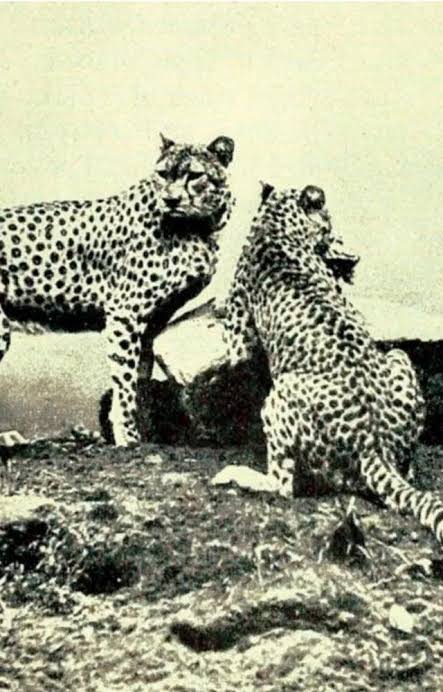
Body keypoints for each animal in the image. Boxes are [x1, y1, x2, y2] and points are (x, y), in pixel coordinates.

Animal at [0, 134, 235, 447]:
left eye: (194, 175)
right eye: (163, 174)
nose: (171, 200)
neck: (196, 227)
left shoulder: (151, 323)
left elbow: (139, 378)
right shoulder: (125, 315)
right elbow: (124, 381)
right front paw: (128, 437)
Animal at [211, 183, 443, 545]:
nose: (338, 238)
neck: (277, 224)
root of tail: (375, 444)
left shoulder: (239, 341)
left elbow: (236, 349)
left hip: (281, 392)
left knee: (282, 487)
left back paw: (240, 475)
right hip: (397, 357)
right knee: (406, 470)